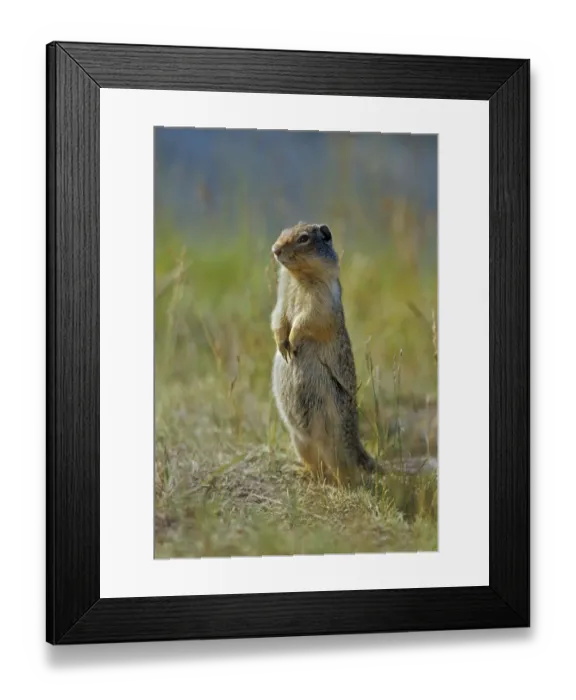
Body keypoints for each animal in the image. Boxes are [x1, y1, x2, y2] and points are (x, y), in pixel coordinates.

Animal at [270, 221, 375, 486]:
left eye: (304, 238)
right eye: (282, 232)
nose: (274, 249)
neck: (298, 277)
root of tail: (355, 443)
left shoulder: (322, 300)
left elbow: (309, 319)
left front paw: (293, 340)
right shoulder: (281, 297)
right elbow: (277, 316)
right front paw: (282, 343)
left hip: (335, 440)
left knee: (343, 469)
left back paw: (343, 485)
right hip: (299, 441)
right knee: (317, 466)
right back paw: (302, 472)